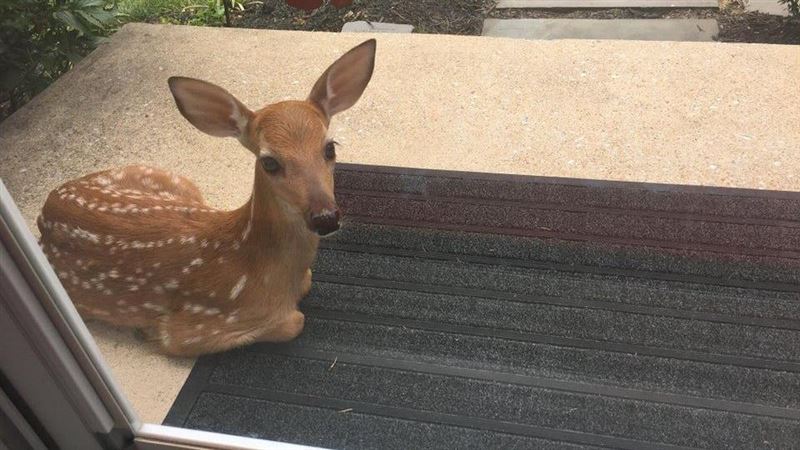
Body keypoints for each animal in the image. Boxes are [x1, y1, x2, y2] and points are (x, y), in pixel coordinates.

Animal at [36, 39, 376, 357]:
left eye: (330, 148)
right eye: (270, 162)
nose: (325, 217)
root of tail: (45, 211)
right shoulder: (194, 328)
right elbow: (295, 322)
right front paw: (147, 332)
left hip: (171, 178)